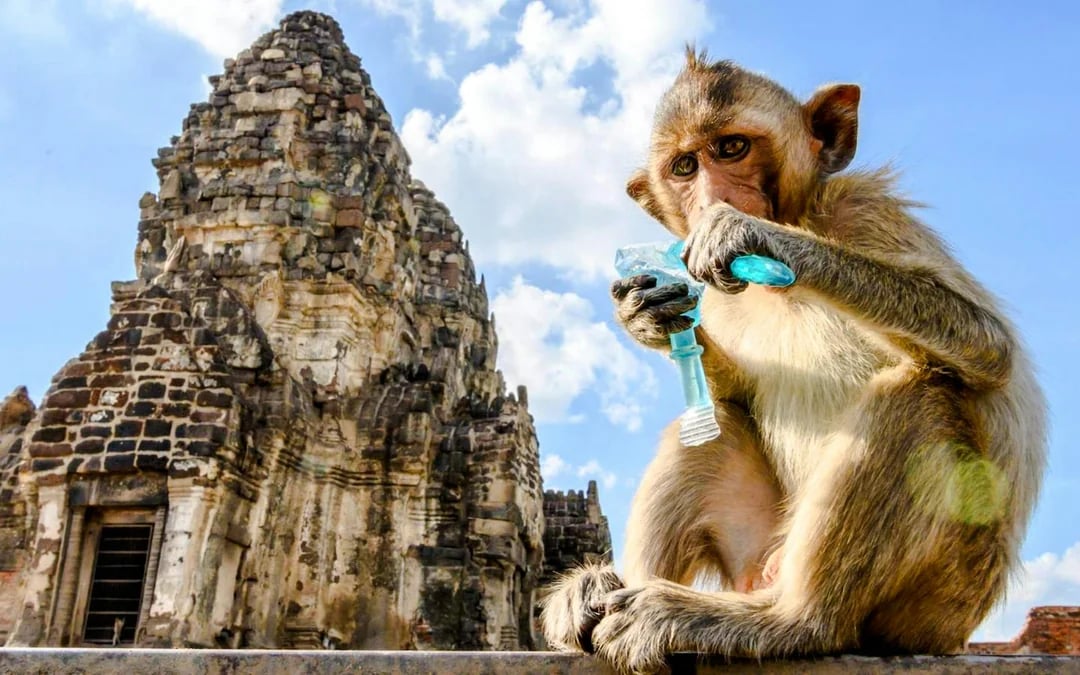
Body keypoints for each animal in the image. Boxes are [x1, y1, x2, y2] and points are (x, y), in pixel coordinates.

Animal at [540, 49, 1047, 674]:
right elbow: (730, 392)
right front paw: (647, 315)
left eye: (732, 148)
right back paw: (599, 598)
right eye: (685, 166)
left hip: (941, 594)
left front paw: (754, 236)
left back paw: (792, 621)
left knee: (918, 395)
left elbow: (987, 347)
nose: (711, 195)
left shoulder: (866, 210)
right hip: (757, 555)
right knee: (717, 423)